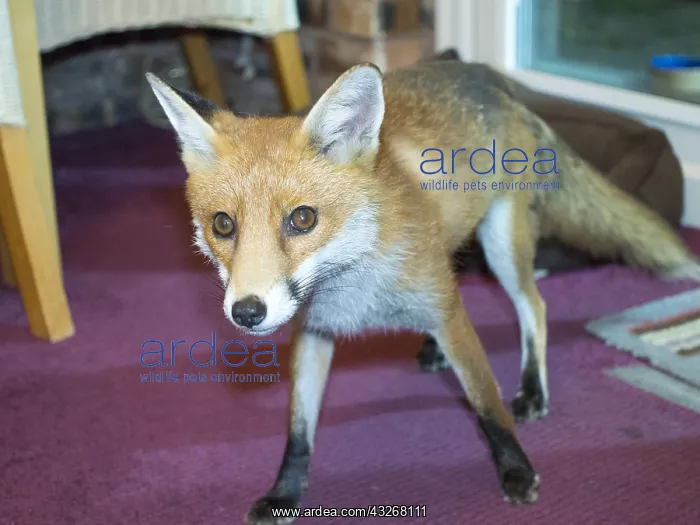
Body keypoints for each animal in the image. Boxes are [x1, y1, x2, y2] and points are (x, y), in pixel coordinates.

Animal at [146, 57, 700, 524]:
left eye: (302, 219)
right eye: (223, 225)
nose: (247, 312)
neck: (357, 287)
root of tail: (488, 77)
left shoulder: (447, 312)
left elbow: (485, 403)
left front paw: (516, 469)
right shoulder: (315, 330)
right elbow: (299, 431)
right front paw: (285, 493)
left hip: (502, 245)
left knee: (534, 306)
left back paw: (532, 388)